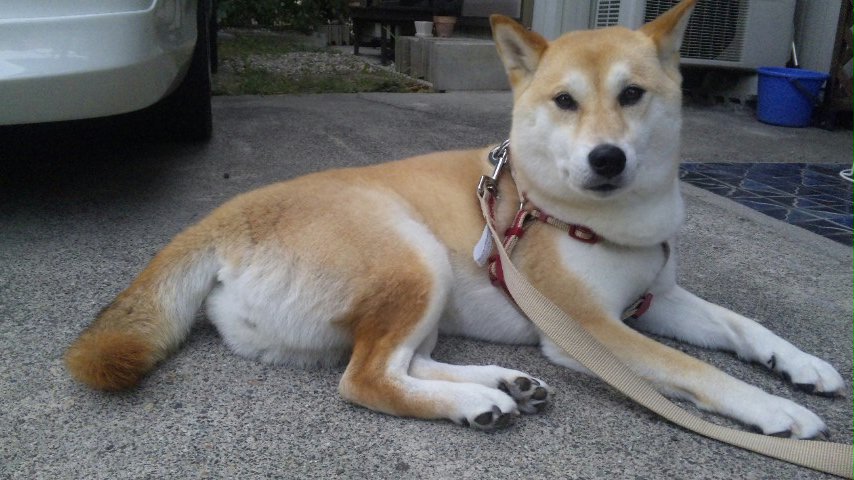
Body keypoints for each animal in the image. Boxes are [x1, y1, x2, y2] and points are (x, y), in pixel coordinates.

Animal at [66, 0, 844, 435]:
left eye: (632, 94)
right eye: (565, 101)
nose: (606, 158)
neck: (605, 219)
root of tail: (225, 216)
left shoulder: (659, 297)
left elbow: (743, 328)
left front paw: (802, 366)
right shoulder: (589, 329)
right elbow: (697, 369)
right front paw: (776, 411)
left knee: (401, 359)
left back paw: (499, 385)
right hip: (415, 256)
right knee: (367, 378)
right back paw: (475, 402)